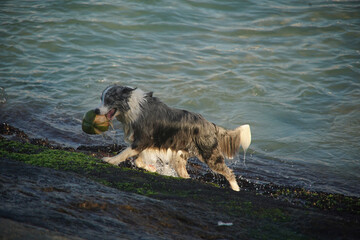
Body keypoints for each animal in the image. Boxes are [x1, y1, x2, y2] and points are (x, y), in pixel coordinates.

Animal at [95, 84, 250, 191]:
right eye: (101, 99)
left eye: (108, 100)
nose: (96, 110)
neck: (132, 108)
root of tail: (211, 125)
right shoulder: (147, 143)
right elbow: (139, 160)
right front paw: (151, 168)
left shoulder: (143, 139)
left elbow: (125, 153)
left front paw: (110, 160)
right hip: (180, 157)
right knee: (185, 174)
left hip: (209, 154)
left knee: (228, 172)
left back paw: (236, 189)